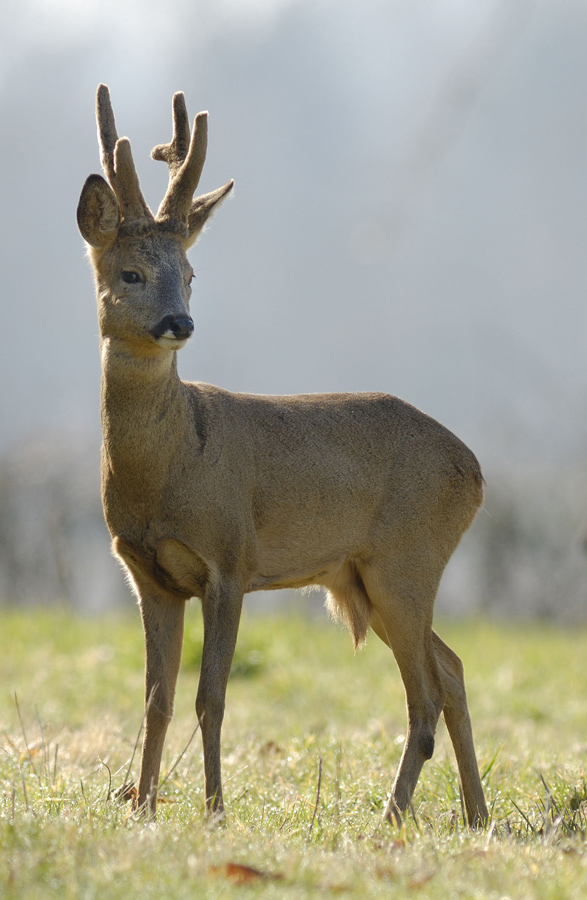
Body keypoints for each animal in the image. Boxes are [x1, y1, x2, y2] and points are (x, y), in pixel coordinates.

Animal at [78, 86, 490, 828]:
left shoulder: (229, 559)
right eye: (131, 272)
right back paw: (476, 816)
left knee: (424, 694)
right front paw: (143, 808)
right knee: (451, 667)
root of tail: (474, 471)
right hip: (367, 576)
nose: (179, 323)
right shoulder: (146, 573)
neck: (165, 470)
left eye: (190, 273)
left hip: (406, 560)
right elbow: (156, 699)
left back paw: (390, 818)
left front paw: (214, 810)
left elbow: (211, 698)